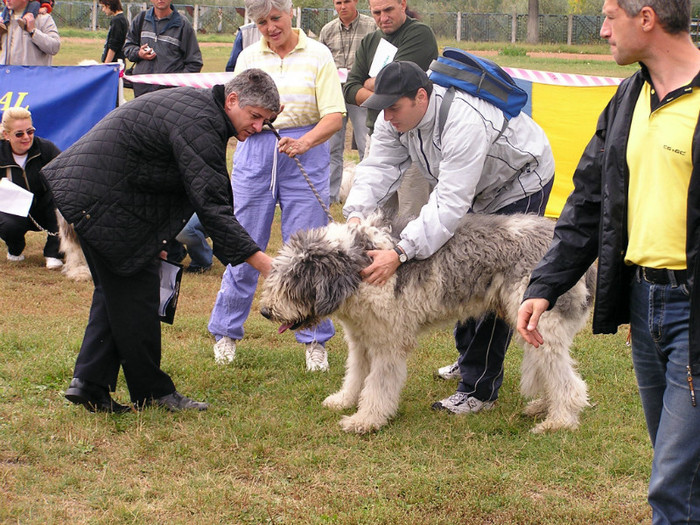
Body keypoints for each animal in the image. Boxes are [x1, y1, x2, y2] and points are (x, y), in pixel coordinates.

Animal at [258, 213, 596, 434]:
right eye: (277, 275)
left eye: (292, 282)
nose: (264, 311)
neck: (358, 269)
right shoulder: (362, 338)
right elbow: (355, 376)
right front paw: (344, 401)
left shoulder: (389, 342)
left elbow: (378, 385)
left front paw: (365, 420)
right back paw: (543, 406)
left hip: (541, 321)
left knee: (568, 381)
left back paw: (559, 421)